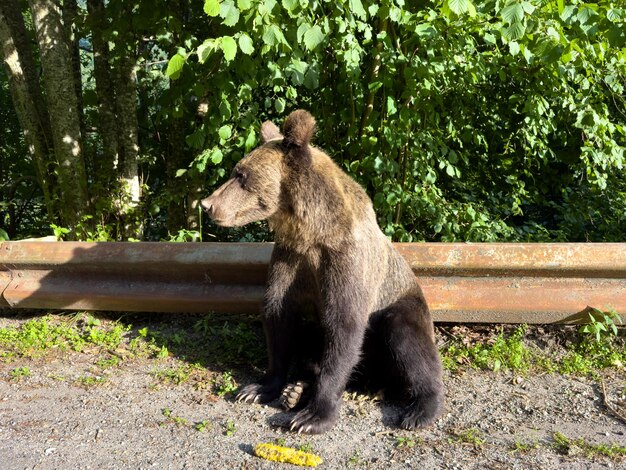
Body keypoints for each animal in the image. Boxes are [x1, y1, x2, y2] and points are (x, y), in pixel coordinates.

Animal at [202, 110, 442, 434]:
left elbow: (344, 327)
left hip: (403, 305)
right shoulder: (291, 257)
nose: (208, 204)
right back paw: (296, 390)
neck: (310, 229)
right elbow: (278, 316)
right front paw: (258, 388)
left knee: (408, 340)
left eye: (241, 175)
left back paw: (420, 409)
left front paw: (312, 417)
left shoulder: (345, 260)